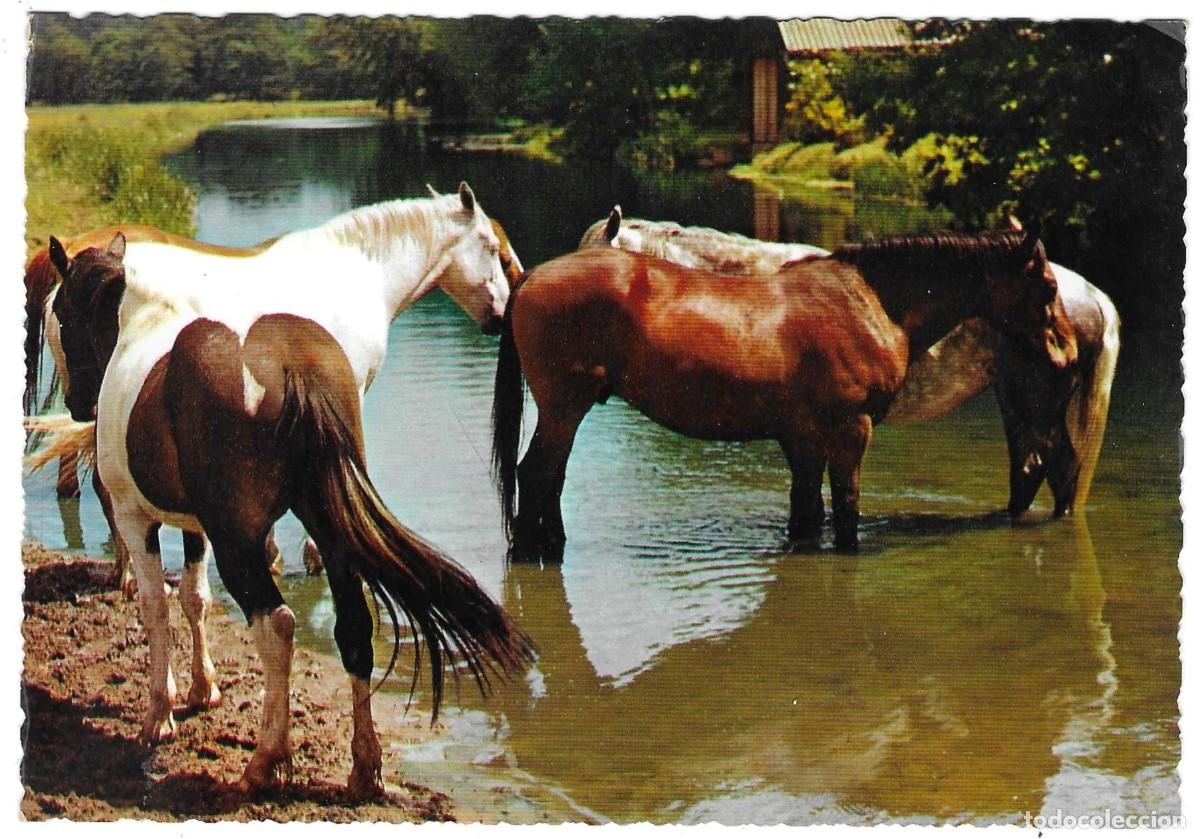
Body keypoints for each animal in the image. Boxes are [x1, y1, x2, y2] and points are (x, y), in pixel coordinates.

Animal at [45, 183, 535, 797]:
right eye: (495, 249)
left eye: (65, 315)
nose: (502, 312)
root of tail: (286, 364)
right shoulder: (200, 519)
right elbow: (191, 597)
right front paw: (197, 690)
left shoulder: (154, 518)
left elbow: (164, 606)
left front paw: (164, 710)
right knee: (350, 626)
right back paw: (359, 768)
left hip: (231, 536)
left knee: (278, 625)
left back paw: (267, 760)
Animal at [493, 228, 1078, 558]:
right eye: (1048, 287)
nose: (1067, 352)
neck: (867, 302)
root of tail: (531, 278)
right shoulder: (850, 430)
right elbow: (845, 511)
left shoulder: (802, 438)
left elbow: (806, 513)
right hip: (564, 409)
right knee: (536, 474)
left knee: (549, 479)